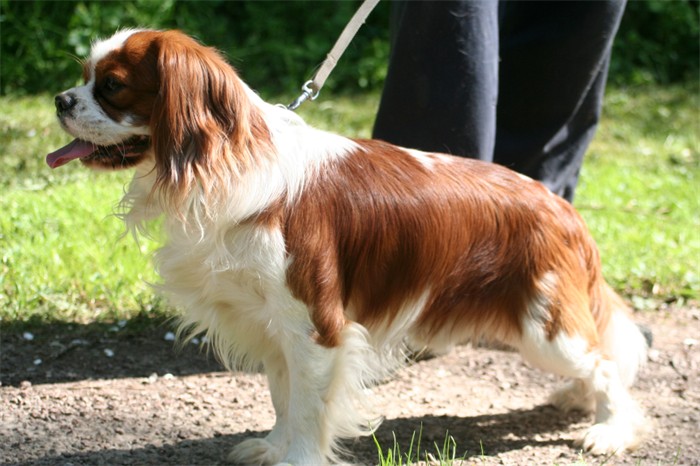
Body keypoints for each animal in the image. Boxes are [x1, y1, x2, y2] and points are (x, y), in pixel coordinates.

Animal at [47, 31, 652, 464]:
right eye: (83, 77)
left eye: (113, 86)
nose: (60, 99)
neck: (225, 163)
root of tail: (560, 206)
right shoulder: (274, 326)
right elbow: (285, 397)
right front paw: (273, 447)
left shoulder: (317, 325)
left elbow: (310, 408)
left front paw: (295, 460)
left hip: (543, 326)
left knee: (605, 366)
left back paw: (608, 429)